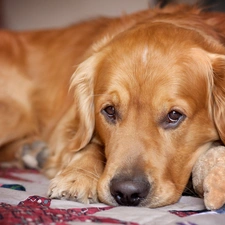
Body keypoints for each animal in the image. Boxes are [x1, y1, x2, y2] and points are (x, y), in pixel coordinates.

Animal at [0, 4, 225, 207]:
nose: (127, 192)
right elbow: (88, 144)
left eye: (174, 115)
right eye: (109, 110)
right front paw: (78, 175)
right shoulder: (66, 128)